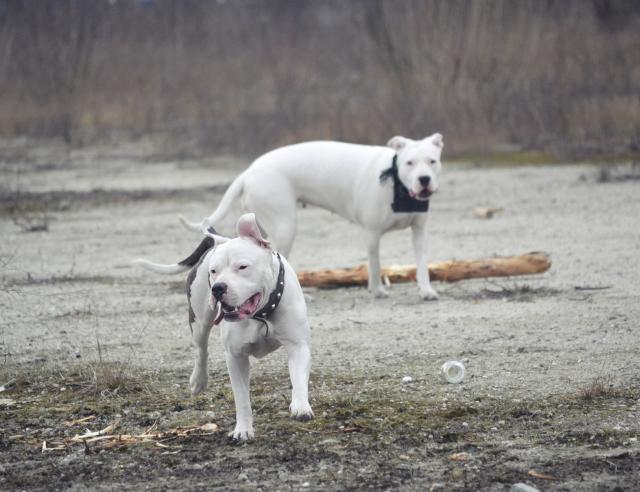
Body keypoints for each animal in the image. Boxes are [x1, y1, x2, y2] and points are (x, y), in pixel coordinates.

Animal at [134, 213, 314, 440]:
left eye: (242, 267)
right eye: (214, 271)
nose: (218, 287)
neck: (261, 315)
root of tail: (219, 239)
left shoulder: (298, 345)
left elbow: (298, 378)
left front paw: (300, 407)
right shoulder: (235, 356)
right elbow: (242, 398)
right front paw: (243, 429)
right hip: (199, 320)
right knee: (201, 350)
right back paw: (198, 381)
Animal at [178, 133, 442, 298]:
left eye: (432, 161)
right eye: (409, 163)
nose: (424, 179)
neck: (397, 183)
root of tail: (248, 172)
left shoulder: (420, 233)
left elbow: (421, 264)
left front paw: (426, 290)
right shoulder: (372, 234)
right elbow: (375, 266)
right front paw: (377, 291)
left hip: (259, 227)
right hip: (285, 227)